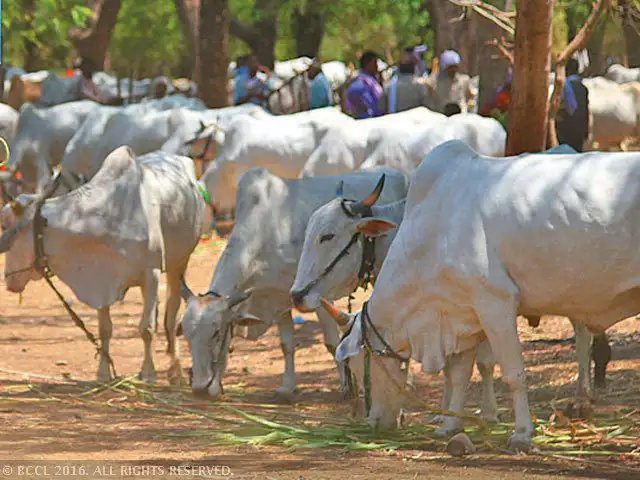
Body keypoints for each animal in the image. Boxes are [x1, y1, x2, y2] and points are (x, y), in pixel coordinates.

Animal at [0, 148, 202, 384]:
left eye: (6, 226)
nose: (9, 278)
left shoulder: (151, 273)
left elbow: (147, 328)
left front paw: (149, 374)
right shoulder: (101, 281)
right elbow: (105, 329)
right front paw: (103, 373)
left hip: (179, 263)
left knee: (171, 317)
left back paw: (176, 371)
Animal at [176, 167, 404, 400]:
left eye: (216, 332)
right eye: (186, 335)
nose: (199, 389)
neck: (265, 230)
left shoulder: (316, 296)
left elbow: (332, 343)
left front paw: (346, 387)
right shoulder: (279, 298)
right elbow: (286, 345)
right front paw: (287, 387)